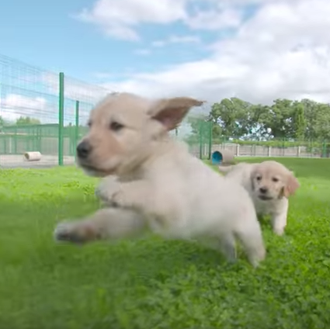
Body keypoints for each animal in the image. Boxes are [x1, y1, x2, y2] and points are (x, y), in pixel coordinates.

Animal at [53, 92, 266, 266]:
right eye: (90, 125)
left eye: (116, 126)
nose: (80, 149)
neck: (149, 160)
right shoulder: (137, 215)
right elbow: (106, 219)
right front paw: (76, 230)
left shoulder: (175, 206)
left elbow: (149, 189)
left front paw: (110, 186)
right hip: (216, 232)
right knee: (229, 245)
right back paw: (230, 262)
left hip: (248, 231)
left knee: (256, 249)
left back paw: (256, 267)